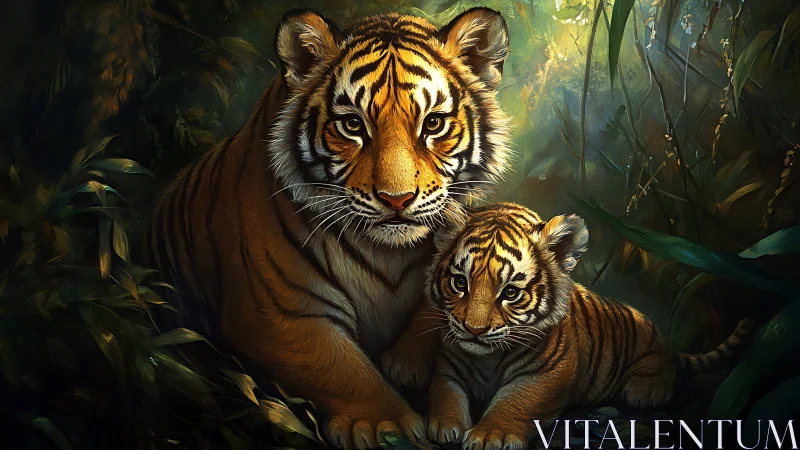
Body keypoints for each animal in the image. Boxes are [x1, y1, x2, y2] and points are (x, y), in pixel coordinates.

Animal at [144, 7, 512, 450]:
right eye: (352, 125)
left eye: (434, 124)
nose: (397, 199)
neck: (390, 254)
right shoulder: (279, 312)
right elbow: (343, 369)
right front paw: (385, 425)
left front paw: (405, 363)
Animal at [422, 203, 756, 450]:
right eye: (460, 283)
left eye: (511, 293)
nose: (474, 330)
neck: (487, 357)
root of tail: (666, 342)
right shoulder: (448, 367)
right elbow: (444, 392)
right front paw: (444, 424)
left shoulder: (547, 374)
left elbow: (517, 401)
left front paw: (490, 434)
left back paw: (645, 390)